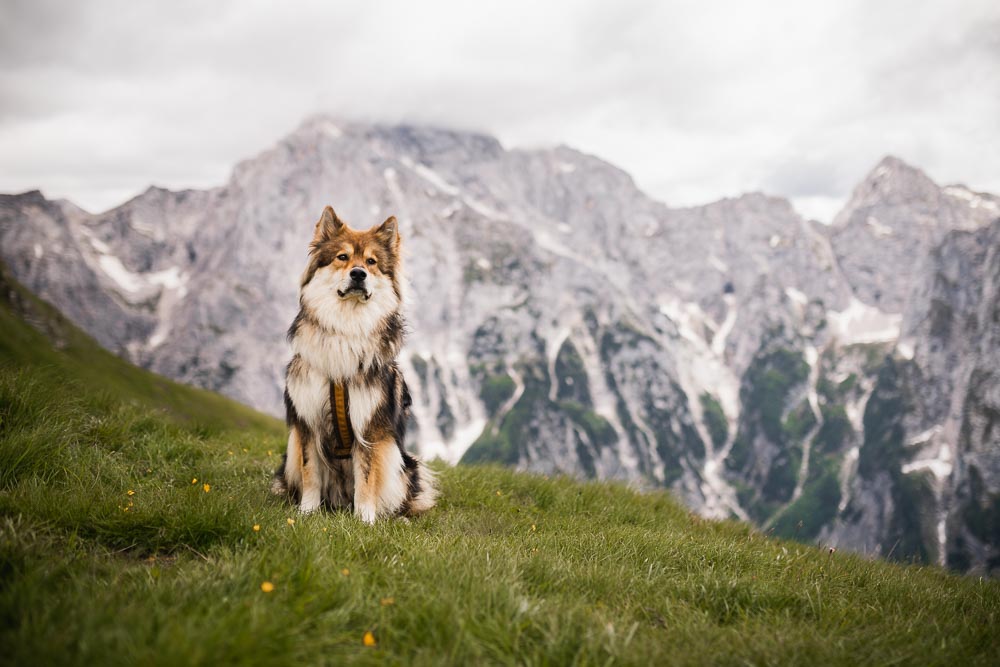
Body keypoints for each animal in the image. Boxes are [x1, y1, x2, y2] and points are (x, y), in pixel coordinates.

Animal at [270, 205, 438, 520]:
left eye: (371, 262)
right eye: (342, 257)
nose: (358, 274)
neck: (346, 325)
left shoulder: (369, 426)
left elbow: (367, 477)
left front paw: (365, 520)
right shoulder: (307, 424)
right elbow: (311, 472)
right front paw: (307, 513)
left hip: (400, 459)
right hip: (291, 451)